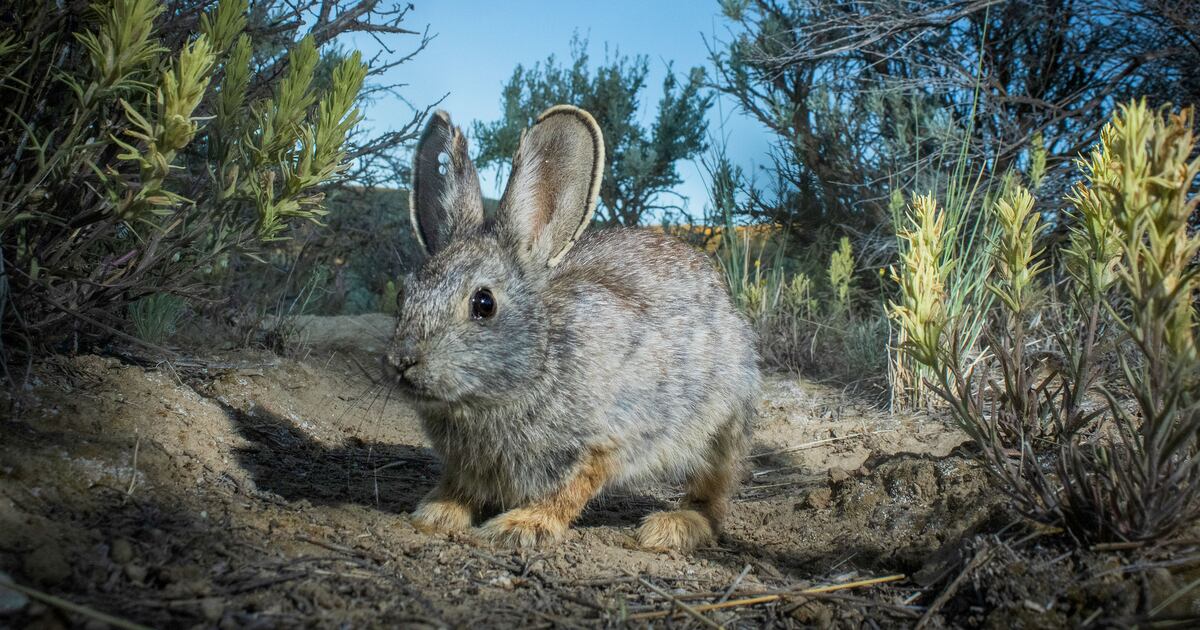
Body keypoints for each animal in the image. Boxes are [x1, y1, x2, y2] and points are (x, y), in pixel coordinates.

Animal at [385, 104, 760, 550]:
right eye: (403, 294)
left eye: (483, 303)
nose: (403, 361)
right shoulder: (466, 465)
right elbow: (459, 486)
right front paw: (437, 513)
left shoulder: (606, 441)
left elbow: (569, 490)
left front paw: (521, 526)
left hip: (722, 429)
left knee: (714, 498)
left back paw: (670, 527)